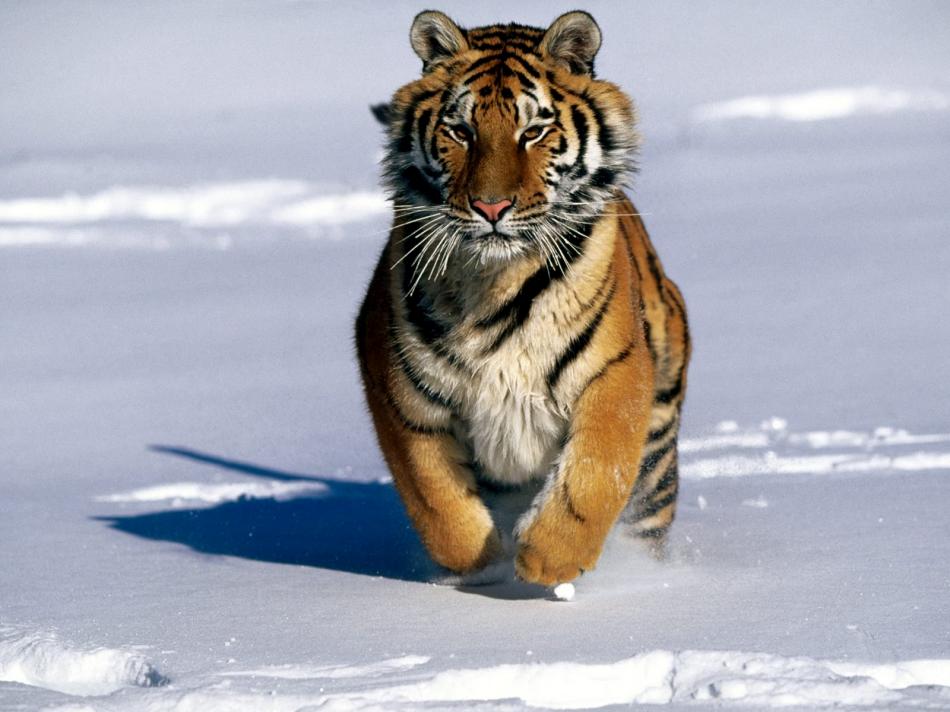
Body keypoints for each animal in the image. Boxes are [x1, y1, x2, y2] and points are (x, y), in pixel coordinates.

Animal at [356, 10, 690, 586]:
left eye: (533, 131)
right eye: (460, 131)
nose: (491, 207)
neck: (495, 281)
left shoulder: (617, 371)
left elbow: (596, 470)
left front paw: (548, 559)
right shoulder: (399, 389)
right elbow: (434, 497)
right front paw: (482, 565)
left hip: (658, 447)